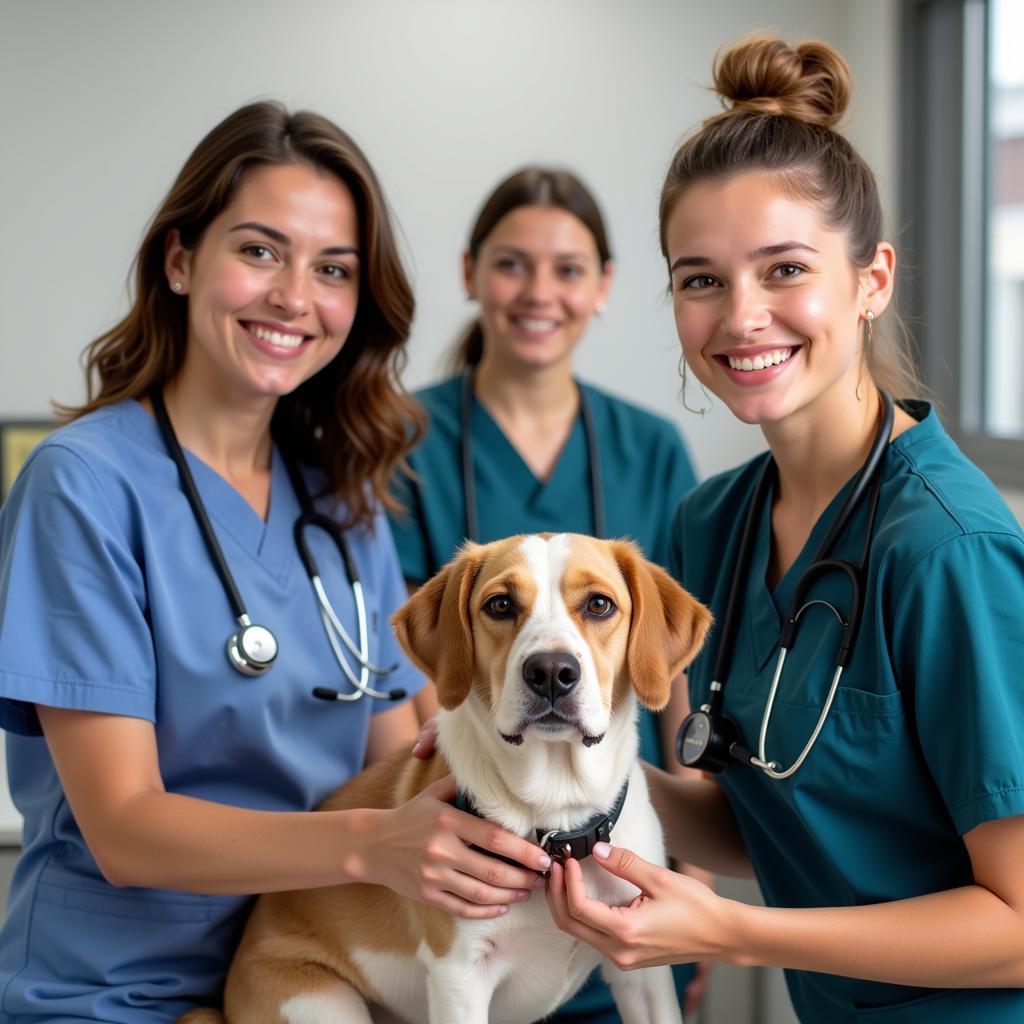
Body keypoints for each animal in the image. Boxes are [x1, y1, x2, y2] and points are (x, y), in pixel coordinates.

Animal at [184, 536, 708, 1024]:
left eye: (599, 604)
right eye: (500, 605)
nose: (551, 671)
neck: (555, 815)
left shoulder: (644, 975)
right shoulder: (460, 977)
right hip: (323, 1004)